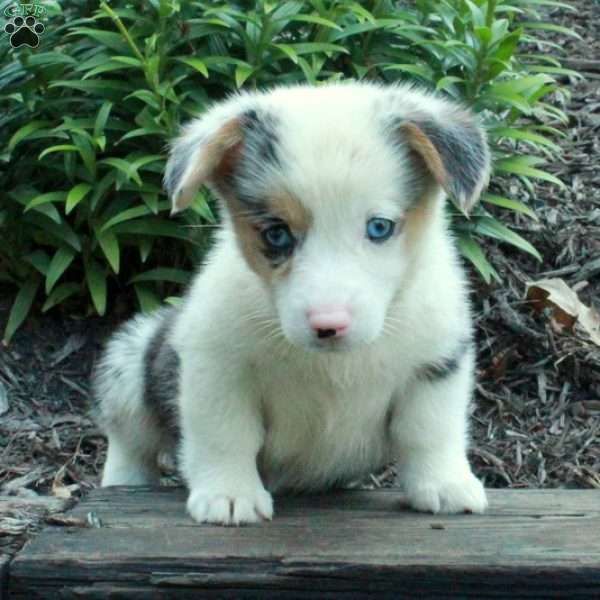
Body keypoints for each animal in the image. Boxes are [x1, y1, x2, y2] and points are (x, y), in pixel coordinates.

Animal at [92, 81, 488, 524]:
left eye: (379, 227)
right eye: (277, 234)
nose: (329, 325)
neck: (333, 365)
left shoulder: (438, 361)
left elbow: (429, 430)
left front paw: (446, 485)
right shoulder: (215, 366)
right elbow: (225, 434)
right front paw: (230, 495)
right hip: (131, 359)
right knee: (129, 438)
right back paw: (125, 483)